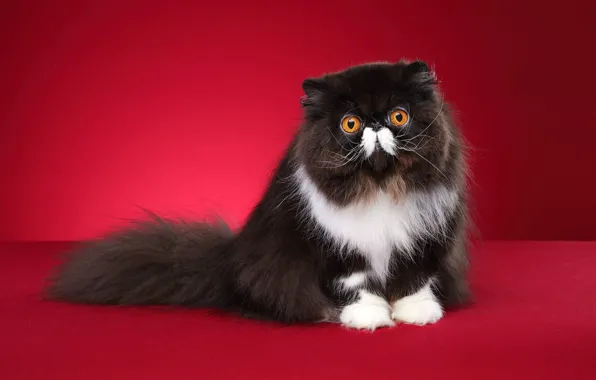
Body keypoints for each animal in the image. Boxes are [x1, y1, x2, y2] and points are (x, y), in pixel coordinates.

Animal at [45, 58, 470, 330]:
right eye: (350, 124)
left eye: (399, 116)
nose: (376, 125)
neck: (379, 184)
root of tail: (228, 260)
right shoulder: (340, 248)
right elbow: (356, 286)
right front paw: (368, 319)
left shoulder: (422, 237)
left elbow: (414, 279)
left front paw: (417, 313)